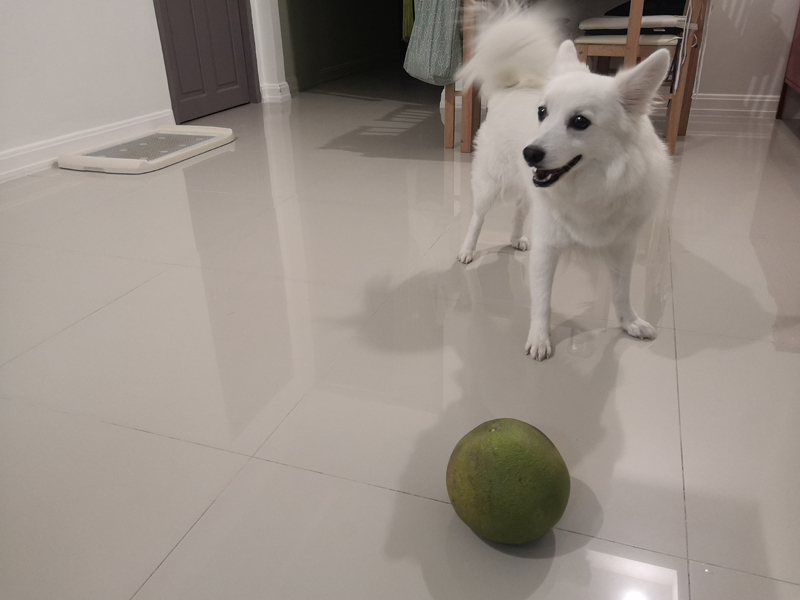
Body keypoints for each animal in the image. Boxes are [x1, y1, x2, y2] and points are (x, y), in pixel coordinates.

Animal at [457, 5, 672, 361]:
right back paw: (467, 250)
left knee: (519, 209)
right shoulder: (548, 247)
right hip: (491, 183)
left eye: (580, 122)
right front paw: (540, 339)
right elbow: (542, 300)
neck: (593, 184)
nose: (529, 153)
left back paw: (515, 239)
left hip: (524, 189)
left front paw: (629, 322)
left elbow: (621, 292)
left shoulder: (622, 247)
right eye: (542, 112)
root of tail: (510, 88)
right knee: (477, 216)